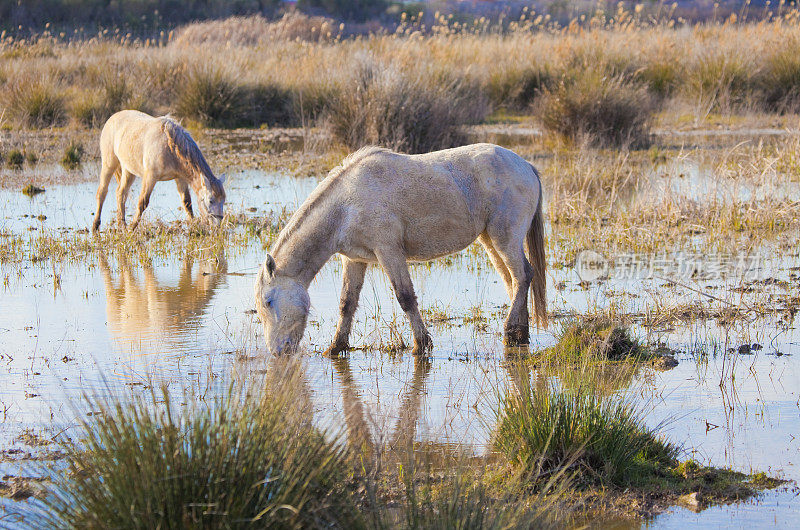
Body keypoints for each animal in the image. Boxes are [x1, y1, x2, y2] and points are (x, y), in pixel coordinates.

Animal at [92, 108, 227, 230]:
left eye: (223, 201)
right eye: (211, 201)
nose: (217, 225)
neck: (170, 146)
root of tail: (113, 117)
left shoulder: (180, 178)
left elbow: (187, 202)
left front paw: (193, 227)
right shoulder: (150, 177)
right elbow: (142, 203)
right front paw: (132, 228)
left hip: (128, 171)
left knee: (121, 193)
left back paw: (122, 225)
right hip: (109, 164)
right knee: (102, 193)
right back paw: (96, 226)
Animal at [253, 142, 548, 354]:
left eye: (268, 302)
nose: (277, 351)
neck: (345, 205)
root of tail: (526, 166)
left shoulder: (389, 251)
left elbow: (405, 297)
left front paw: (421, 345)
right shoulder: (355, 259)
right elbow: (347, 303)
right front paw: (336, 347)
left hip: (504, 237)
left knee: (523, 275)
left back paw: (511, 332)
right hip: (490, 240)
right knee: (514, 281)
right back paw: (520, 334)